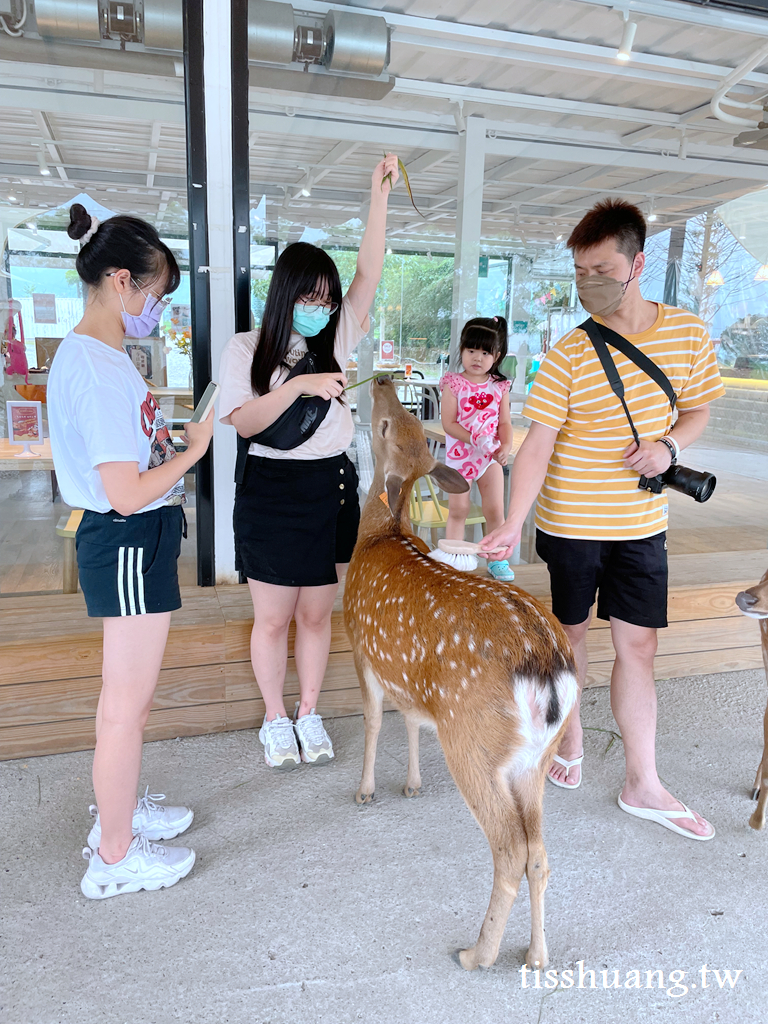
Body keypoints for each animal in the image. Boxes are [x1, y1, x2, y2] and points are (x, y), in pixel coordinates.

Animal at [342, 376, 577, 966]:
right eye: (403, 421)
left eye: (386, 424)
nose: (382, 379)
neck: (382, 532)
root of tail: (548, 672)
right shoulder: (409, 677)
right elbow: (409, 720)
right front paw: (412, 785)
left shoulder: (360, 646)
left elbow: (374, 721)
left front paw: (366, 791)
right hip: (535, 758)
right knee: (539, 852)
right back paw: (537, 955)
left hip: (472, 739)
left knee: (510, 848)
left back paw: (477, 954)